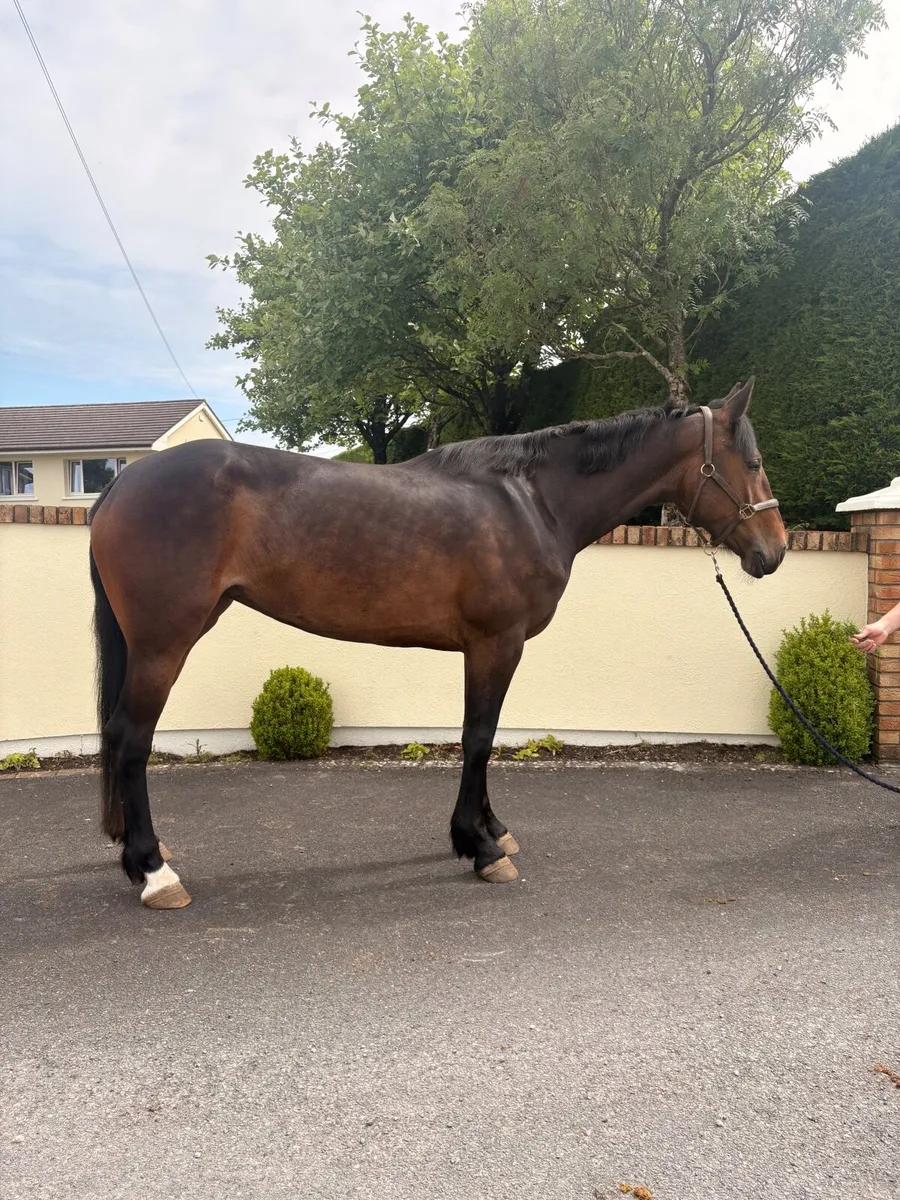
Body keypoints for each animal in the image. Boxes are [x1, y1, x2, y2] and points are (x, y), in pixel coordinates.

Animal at [88, 379, 785, 909]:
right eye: (751, 464)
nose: (773, 553)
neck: (533, 501)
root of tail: (121, 484)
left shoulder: (490, 648)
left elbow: (485, 737)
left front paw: (493, 830)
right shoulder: (496, 643)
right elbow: (478, 738)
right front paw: (479, 847)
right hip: (164, 644)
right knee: (131, 737)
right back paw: (155, 872)